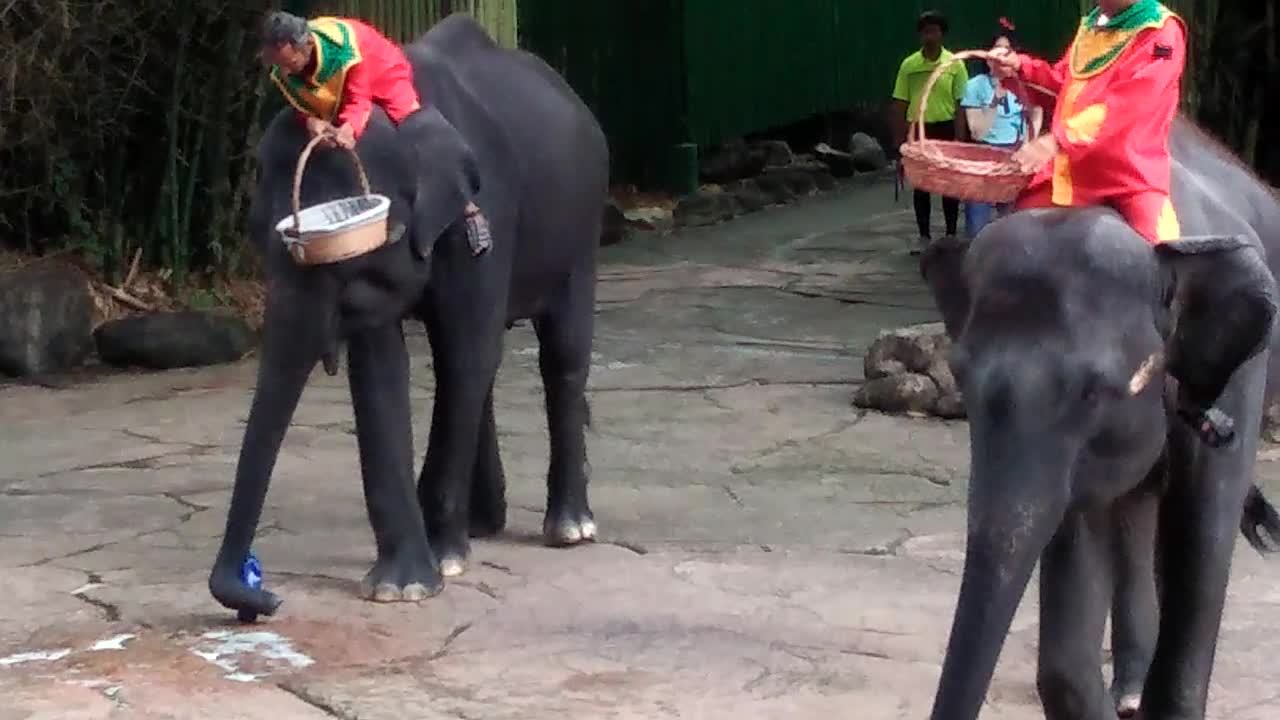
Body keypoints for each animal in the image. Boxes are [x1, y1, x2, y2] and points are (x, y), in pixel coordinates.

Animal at [208, 12, 609, 617]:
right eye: (261, 240)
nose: (265, 598)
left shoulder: (486, 215)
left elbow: (465, 348)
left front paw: (441, 562)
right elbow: (380, 372)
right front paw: (402, 587)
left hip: (581, 227)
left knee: (556, 354)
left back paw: (568, 530)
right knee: (481, 371)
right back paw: (484, 524)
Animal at [916, 113, 1280, 717]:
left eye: (1096, 392)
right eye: (961, 379)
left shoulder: (1239, 378)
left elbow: (1203, 532)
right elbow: (1076, 541)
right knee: (1133, 510)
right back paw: (1128, 690)